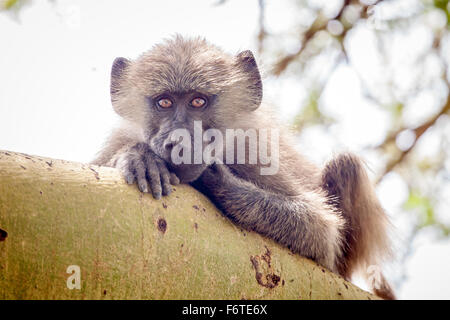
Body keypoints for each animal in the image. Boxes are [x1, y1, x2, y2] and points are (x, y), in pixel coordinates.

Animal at [93, 35, 396, 300]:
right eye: (164, 102)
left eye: (198, 101)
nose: (179, 143)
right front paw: (139, 157)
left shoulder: (253, 149)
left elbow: (321, 233)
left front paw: (219, 181)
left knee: (345, 163)